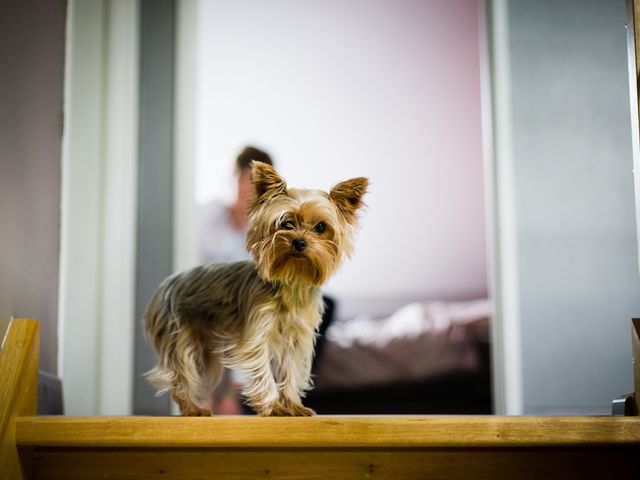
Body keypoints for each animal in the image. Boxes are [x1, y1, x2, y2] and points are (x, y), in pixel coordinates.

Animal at [143, 162, 368, 416]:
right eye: (285, 223)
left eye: (321, 227)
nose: (299, 242)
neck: (291, 281)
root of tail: (167, 283)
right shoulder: (256, 333)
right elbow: (262, 370)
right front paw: (274, 407)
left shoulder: (296, 338)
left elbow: (290, 371)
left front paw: (293, 405)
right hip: (179, 337)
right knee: (181, 374)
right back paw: (193, 409)